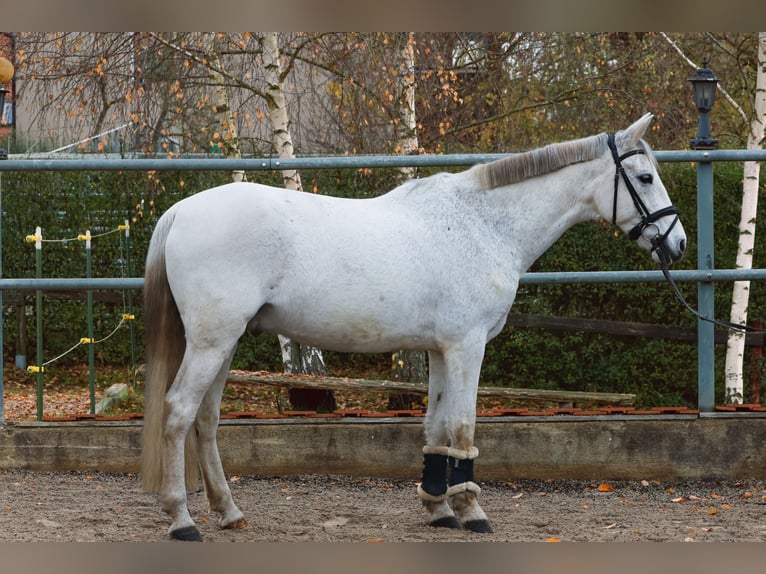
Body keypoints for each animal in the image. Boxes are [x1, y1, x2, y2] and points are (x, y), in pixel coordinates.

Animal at [141, 113, 686, 541]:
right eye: (642, 178)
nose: (676, 243)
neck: (485, 224)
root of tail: (180, 211)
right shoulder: (467, 347)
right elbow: (463, 425)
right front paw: (472, 511)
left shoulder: (441, 350)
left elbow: (437, 427)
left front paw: (438, 508)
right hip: (212, 341)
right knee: (178, 411)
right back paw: (182, 521)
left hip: (225, 341)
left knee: (207, 419)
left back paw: (229, 512)